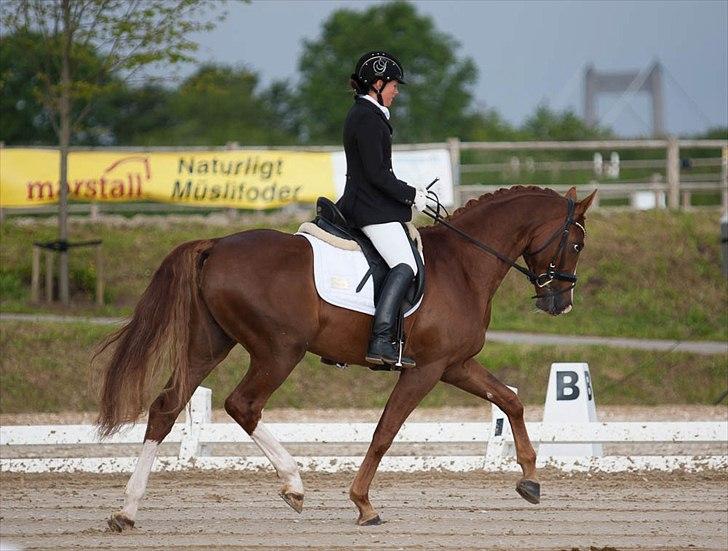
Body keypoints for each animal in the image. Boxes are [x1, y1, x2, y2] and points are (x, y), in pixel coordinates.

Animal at [96, 184, 596, 532]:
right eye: (575, 244)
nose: (561, 303)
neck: (463, 263)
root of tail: (216, 244)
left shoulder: (454, 365)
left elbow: (510, 400)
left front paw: (529, 479)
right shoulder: (427, 370)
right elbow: (384, 432)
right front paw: (363, 504)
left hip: (210, 343)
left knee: (167, 407)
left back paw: (127, 511)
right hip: (279, 350)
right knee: (243, 405)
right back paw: (294, 485)